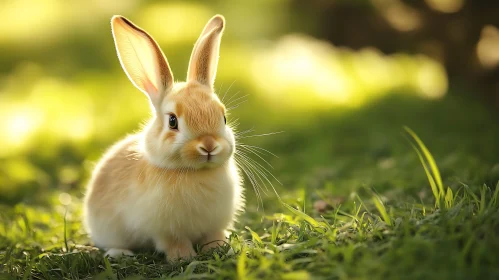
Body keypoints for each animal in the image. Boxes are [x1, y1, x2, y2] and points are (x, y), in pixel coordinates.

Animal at [83, 14, 245, 262]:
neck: (194, 173)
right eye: (172, 121)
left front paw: (218, 249)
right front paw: (183, 258)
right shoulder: (165, 230)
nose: (209, 145)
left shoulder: (214, 225)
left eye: (223, 117)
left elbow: (213, 236)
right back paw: (120, 253)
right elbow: (174, 242)